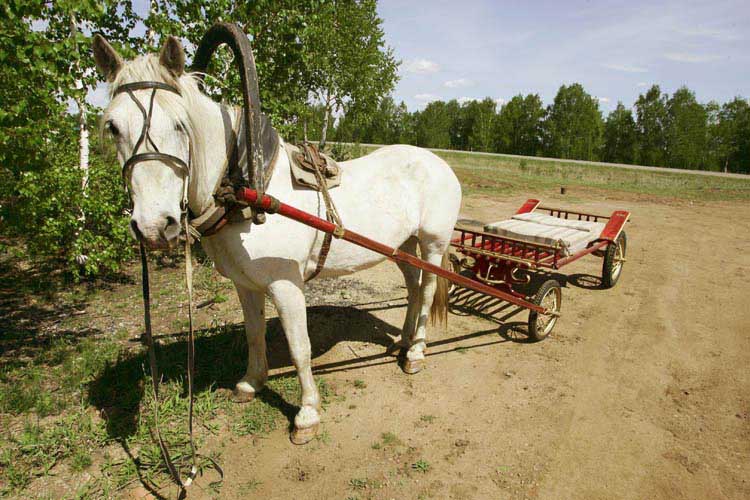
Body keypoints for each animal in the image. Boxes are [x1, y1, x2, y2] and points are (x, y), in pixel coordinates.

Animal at [94, 34, 464, 442]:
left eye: (180, 124)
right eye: (112, 127)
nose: (154, 225)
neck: (248, 193)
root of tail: (439, 163)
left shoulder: (286, 285)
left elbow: (299, 346)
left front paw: (307, 414)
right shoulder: (245, 284)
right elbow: (254, 333)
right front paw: (251, 383)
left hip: (432, 243)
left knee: (426, 291)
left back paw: (415, 352)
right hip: (402, 247)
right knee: (413, 289)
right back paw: (402, 341)